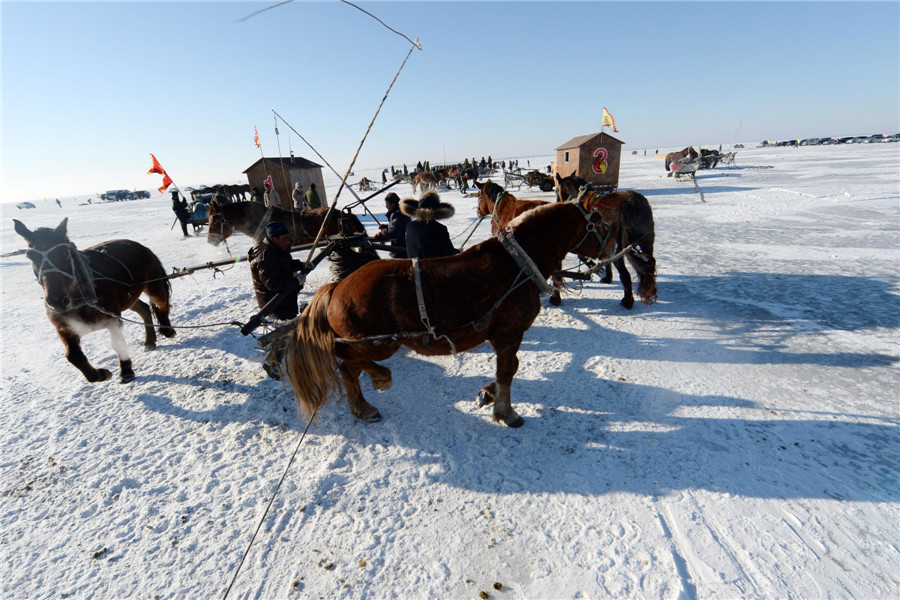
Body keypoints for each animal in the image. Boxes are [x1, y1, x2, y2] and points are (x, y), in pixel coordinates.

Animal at [14, 218, 175, 382]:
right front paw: (100, 374)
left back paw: (167, 330)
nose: (56, 301)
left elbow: (117, 344)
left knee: (161, 304)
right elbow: (73, 356)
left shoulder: (112, 319)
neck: (81, 301)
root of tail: (140, 246)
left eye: (65, 253)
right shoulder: (65, 328)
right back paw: (149, 340)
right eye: (30, 256)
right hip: (128, 298)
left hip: (153, 286)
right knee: (144, 309)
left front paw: (126, 370)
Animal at [268, 204, 604, 428]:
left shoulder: (502, 336)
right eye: (599, 223)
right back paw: (380, 379)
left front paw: (488, 394)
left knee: (347, 367)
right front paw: (506, 412)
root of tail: (337, 286)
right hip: (377, 343)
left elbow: (508, 369)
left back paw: (362, 407)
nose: (606, 254)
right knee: (344, 359)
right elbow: (508, 371)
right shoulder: (510, 333)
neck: (516, 263)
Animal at [552, 171, 656, 308]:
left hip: (621, 250)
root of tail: (630, 205)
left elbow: (583, 257)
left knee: (625, 274)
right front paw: (607, 277)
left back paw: (627, 301)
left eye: (556, 190)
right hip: (647, 243)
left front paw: (597, 269)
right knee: (650, 265)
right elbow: (605, 260)